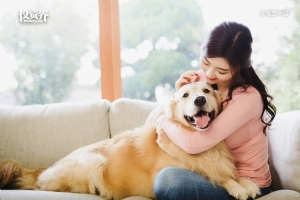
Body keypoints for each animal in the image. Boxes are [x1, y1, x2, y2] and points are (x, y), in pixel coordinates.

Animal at [0, 81, 260, 200]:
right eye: (186, 95)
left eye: (206, 90)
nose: (199, 100)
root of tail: (42, 169)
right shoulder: (183, 167)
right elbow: (217, 176)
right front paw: (237, 187)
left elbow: (227, 172)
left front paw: (246, 183)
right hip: (93, 162)